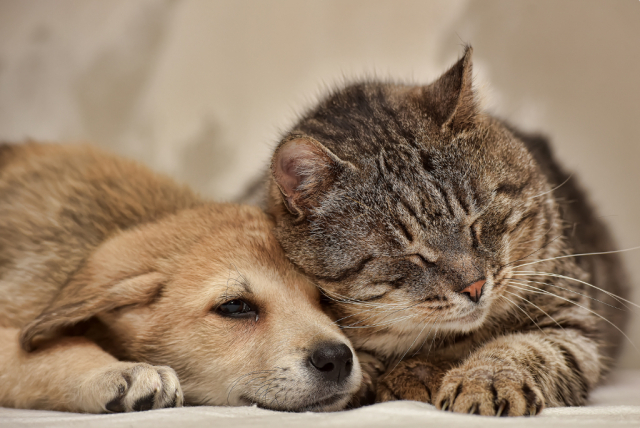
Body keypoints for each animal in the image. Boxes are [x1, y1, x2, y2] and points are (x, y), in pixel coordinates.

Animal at [264, 47, 632, 418]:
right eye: (411, 254)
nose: (475, 287)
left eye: (475, 223)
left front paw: (482, 380)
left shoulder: (569, 321)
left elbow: (521, 348)